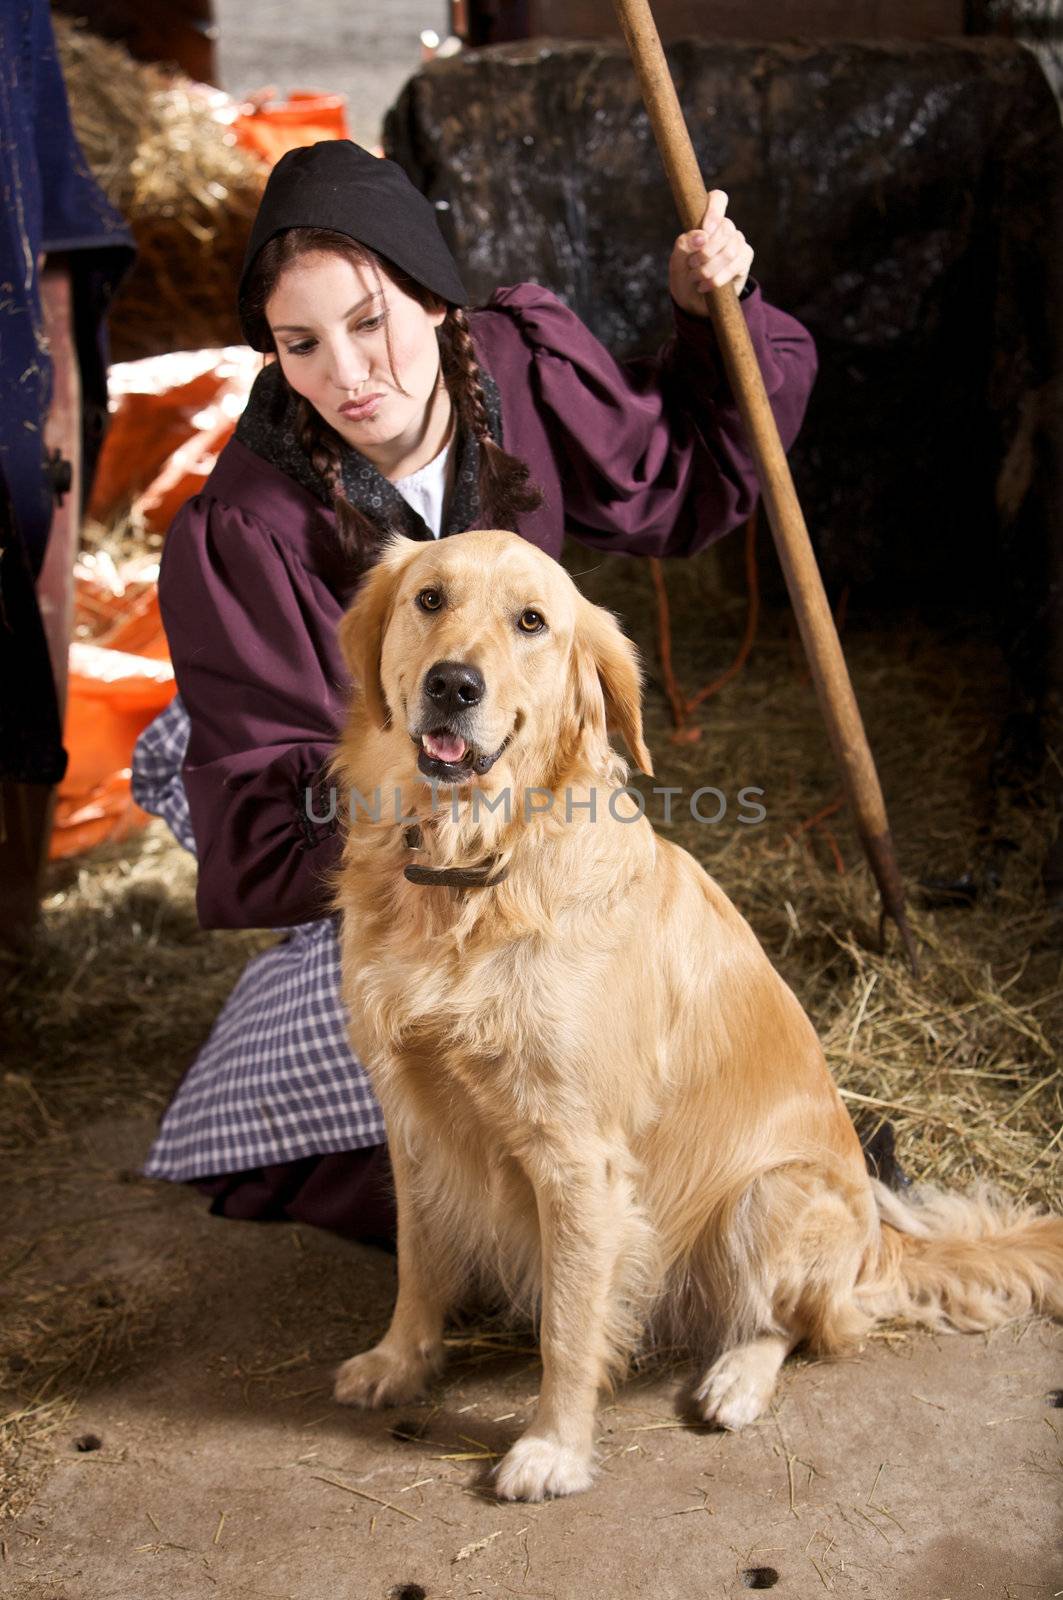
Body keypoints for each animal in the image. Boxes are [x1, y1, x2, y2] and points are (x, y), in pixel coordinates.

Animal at [332, 531, 1063, 1504]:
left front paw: (552, 1448)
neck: (476, 871)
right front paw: (399, 1363)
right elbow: (418, 1262)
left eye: (532, 622)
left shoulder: (579, 1157)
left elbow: (569, 1324)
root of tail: (880, 1248)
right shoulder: (411, 1117)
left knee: (794, 1325)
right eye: (428, 598)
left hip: (770, 1194)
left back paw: (734, 1381)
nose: (453, 683)